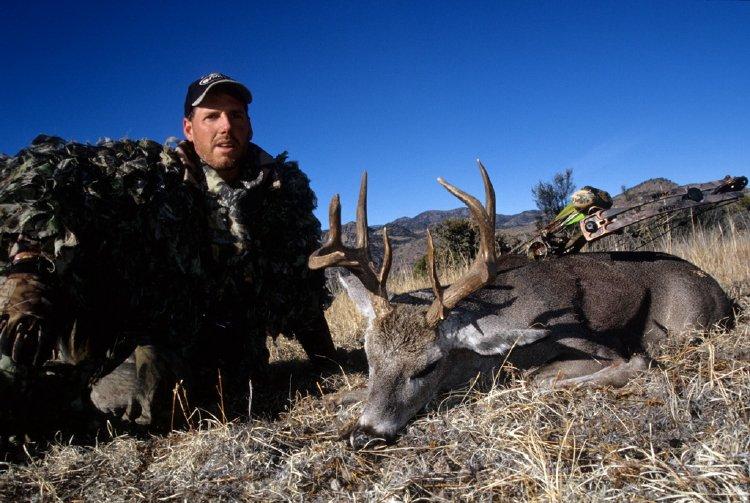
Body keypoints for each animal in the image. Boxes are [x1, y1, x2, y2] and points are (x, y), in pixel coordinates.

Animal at [310, 163, 736, 446]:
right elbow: (338, 393)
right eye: (370, 359)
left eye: (427, 366)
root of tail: (720, 292)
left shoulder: (585, 342)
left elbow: (555, 378)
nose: (366, 434)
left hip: (686, 325)